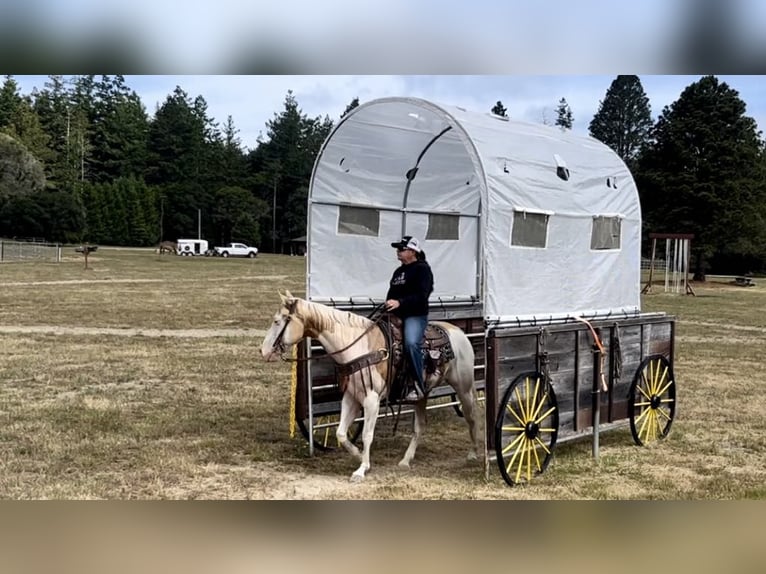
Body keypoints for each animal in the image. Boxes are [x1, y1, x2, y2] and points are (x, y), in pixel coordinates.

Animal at [262, 290, 480, 484]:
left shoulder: (371, 400)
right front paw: (359, 456)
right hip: (421, 394)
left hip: (464, 387)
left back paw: (473, 453)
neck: (357, 347)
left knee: (471, 417)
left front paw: (361, 470)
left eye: (277, 321)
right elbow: (341, 433)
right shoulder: (351, 397)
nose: (263, 351)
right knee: (419, 427)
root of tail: (458, 332)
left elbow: (367, 435)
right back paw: (405, 460)